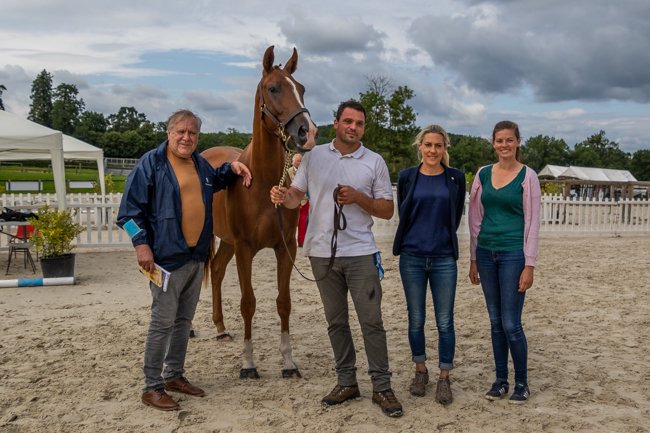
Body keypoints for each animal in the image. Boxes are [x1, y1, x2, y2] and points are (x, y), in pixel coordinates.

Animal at [201, 46, 316, 379]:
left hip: (226, 242)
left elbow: (284, 302)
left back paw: (221, 328)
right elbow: (248, 302)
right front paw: (248, 363)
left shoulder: (285, 247)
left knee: (216, 271)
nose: (307, 132)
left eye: (301, 88)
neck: (263, 182)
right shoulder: (245, 248)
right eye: (273, 88)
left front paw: (288, 363)